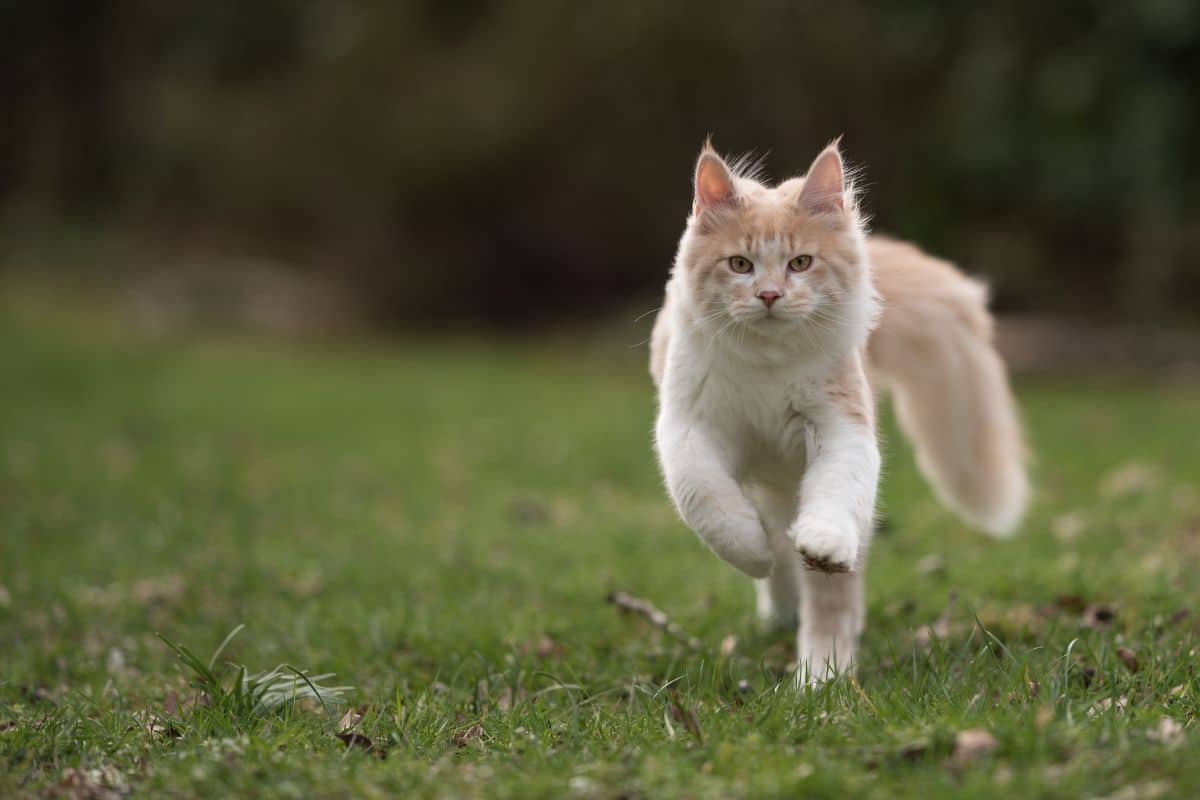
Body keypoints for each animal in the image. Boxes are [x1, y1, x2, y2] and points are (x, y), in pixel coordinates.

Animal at [652, 139, 1027, 681]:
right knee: (777, 547)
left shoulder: (839, 427)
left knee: (833, 601)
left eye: (801, 263)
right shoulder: (688, 427)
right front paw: (752, 553)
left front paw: (823, 544)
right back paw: (781, 609)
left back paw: (821, 676)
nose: (769, 295)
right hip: (768, 485)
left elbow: (831, 500)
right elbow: (707, 501)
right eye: (740, 265)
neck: (768, 367)